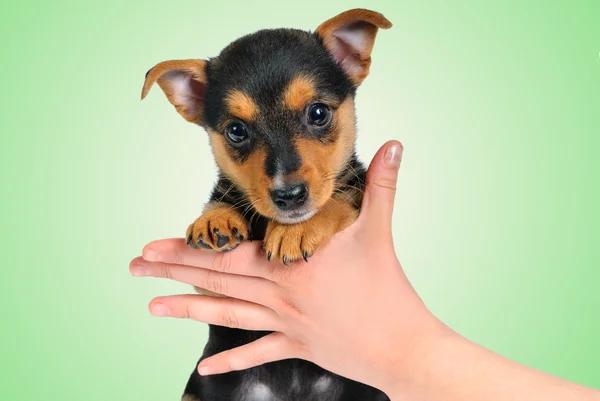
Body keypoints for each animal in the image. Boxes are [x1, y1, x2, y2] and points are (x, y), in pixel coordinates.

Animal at [142, 7, 392, 398]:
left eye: (318, 113)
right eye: (236, 131)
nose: (288, 195)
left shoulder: (357, 190)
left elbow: (339, 198)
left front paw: (298, 230)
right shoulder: (213, 295)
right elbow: (225, 194)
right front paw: (214, 219)